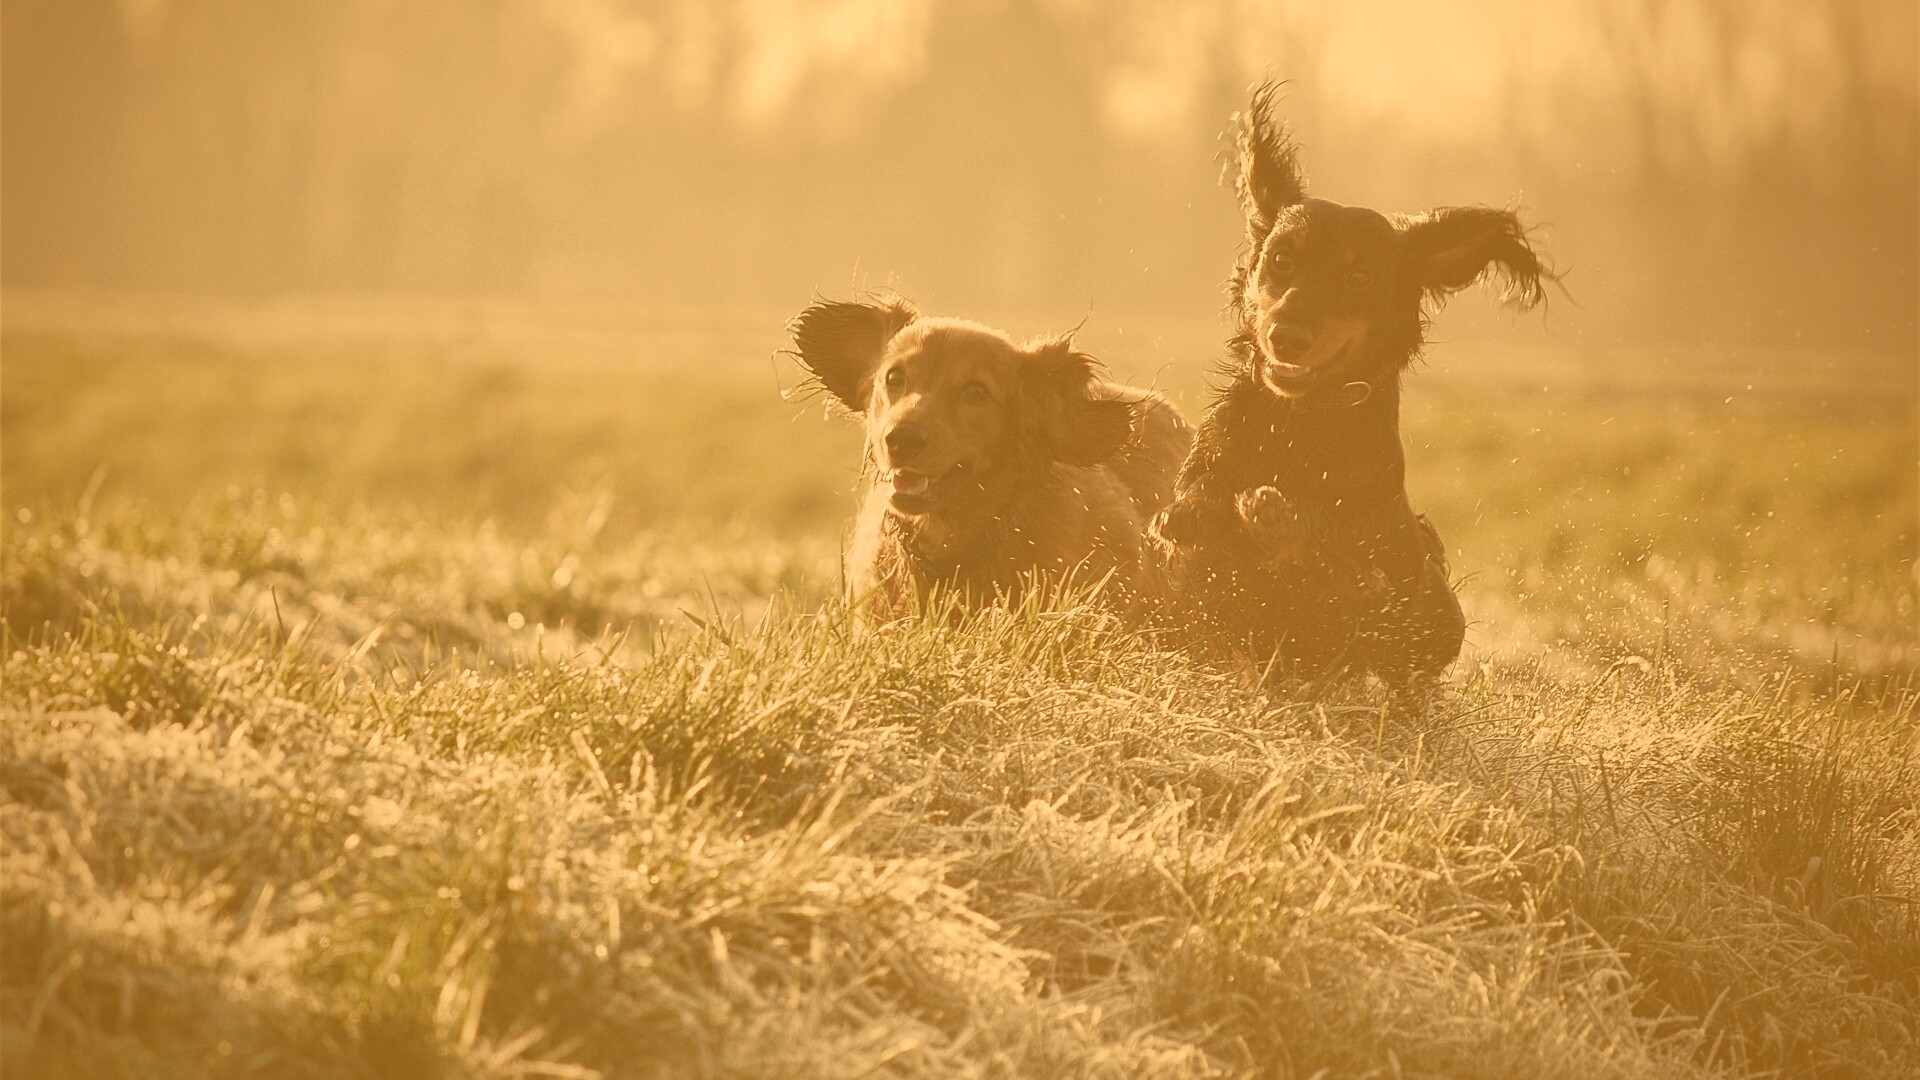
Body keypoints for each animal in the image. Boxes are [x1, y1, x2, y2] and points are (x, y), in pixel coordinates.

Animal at [1144, 88, 1551, 684]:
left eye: (1358, 277)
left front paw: (1276, 520)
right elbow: (1199, 516)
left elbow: (1333, 564)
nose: (1285, 338)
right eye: (1281, 259)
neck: (1301, 421)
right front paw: (1198, 512)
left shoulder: (1369, 586)